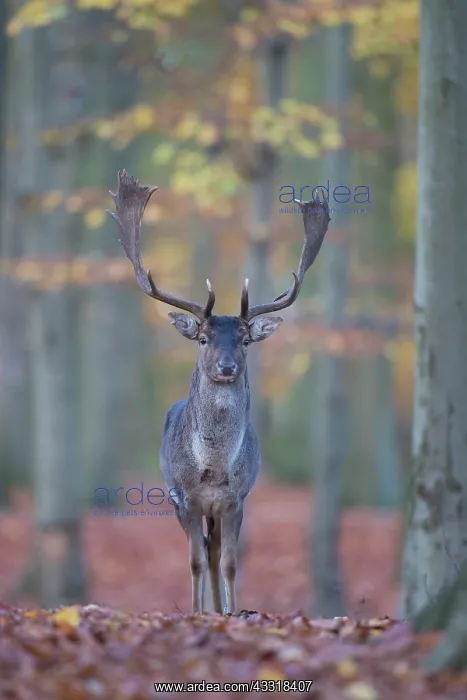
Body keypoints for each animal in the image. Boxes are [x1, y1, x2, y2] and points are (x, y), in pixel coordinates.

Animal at [107, 170, 330, 615]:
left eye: (245, 340)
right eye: (203, 338)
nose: (227, 367)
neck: (212, 469)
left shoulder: (236, 499)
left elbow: (228, 561)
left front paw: (231, 610)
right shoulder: (185, 498)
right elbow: (194, 560)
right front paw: (197, 612)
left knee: (215, 553)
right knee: (203, 552)